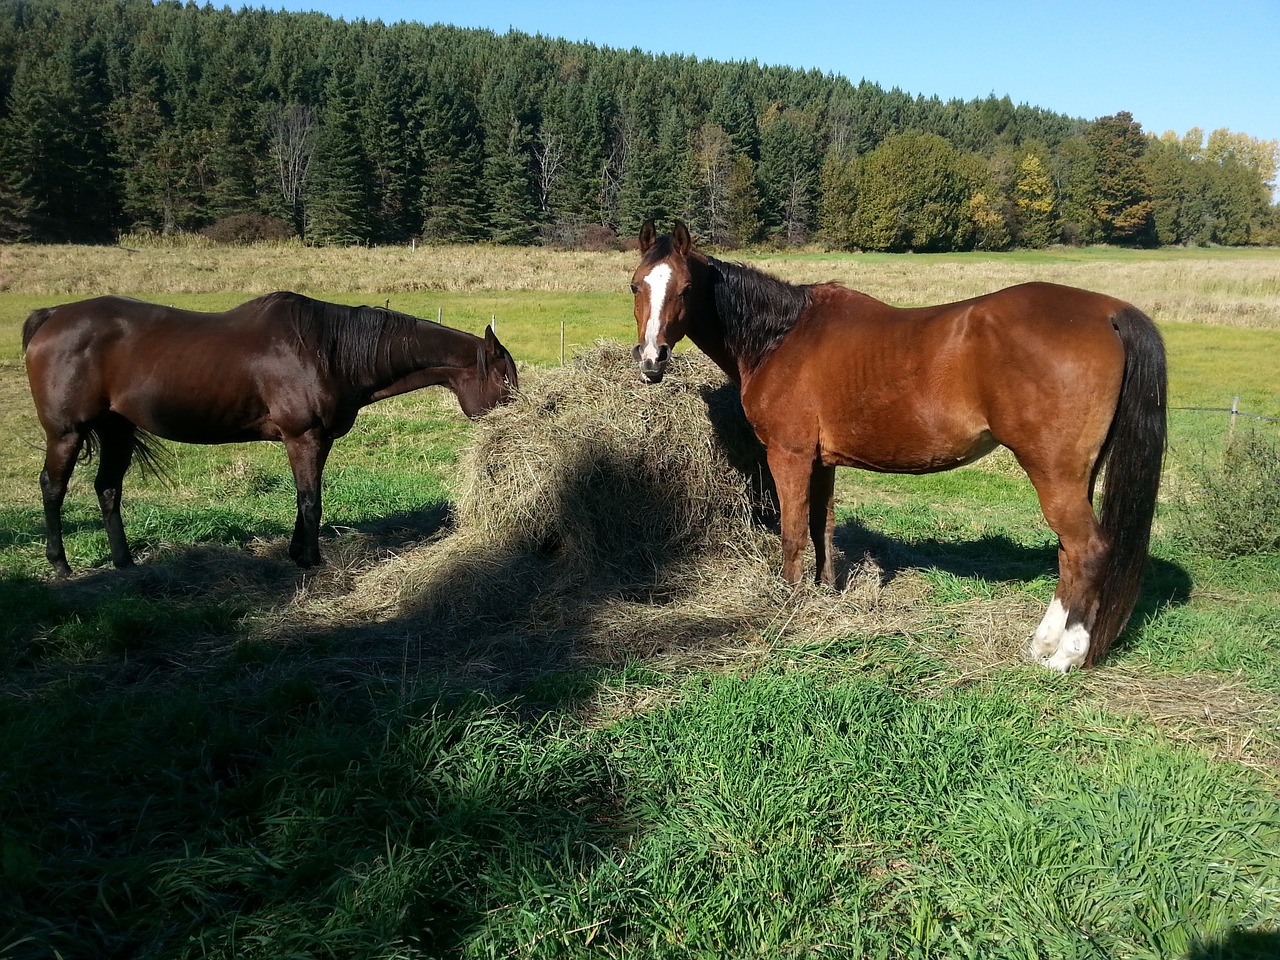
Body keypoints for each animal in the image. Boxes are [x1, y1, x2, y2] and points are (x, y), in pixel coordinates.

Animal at [22, 293, 517, 576]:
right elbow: (311, 501)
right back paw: (60, 564)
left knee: (108, 488)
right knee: (53, 488)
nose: (519, 414)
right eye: (506, 378)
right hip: (66, 432)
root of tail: (50, 317)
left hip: (116, 429)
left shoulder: (316, 440)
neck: (327, 350)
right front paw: (311, 561)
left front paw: (297, 552)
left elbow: (305, 498)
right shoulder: (304, 437)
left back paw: (124, 562)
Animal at [624, 218, 1167, 670]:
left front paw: (791, 605)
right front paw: (825, 593)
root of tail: (1110, 311)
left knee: (1088, 550)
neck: (781, 337)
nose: (651, 360)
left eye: (686, 288)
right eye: (635, 284)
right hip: (1073, 476)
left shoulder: (790, 456)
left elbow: (794, 532)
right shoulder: (823, 462)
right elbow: (822, 528)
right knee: (1068, 554)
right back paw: (1043, 644)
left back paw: (1065, 657)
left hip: (1052, 472)